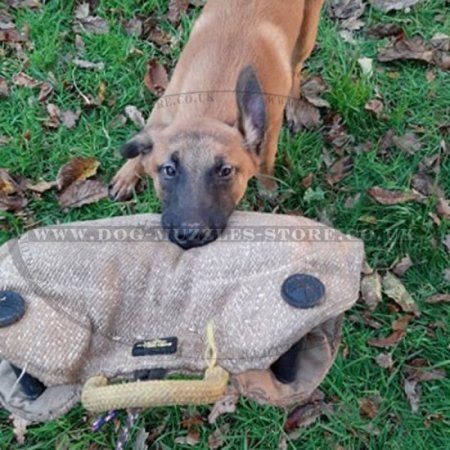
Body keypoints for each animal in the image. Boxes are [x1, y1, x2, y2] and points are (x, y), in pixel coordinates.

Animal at [109, 0, 324, 248]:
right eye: (169, 170)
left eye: (226, 171)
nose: (190, 235)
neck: (212, 100)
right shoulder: (162, 107)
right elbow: (144, 139)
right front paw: (127, 174)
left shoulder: (269, 131)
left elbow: (264, 164)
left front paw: (267, 188)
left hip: (307, 32)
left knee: (296, 66)